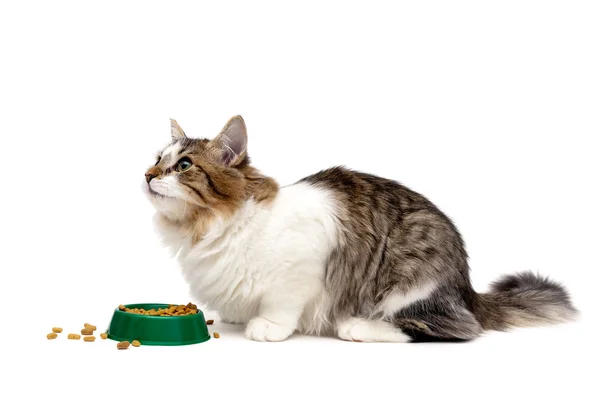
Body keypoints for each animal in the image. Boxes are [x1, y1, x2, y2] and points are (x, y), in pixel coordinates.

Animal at [143, 117, 580, 342]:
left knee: (442, 329)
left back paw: (358, 326)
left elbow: (281, 305)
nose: (147, 175)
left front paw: (266, 327)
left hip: (410, 280)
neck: (211, 226)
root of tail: (467, 288)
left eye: (183, 165)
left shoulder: (301, 269)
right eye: (157, 159)